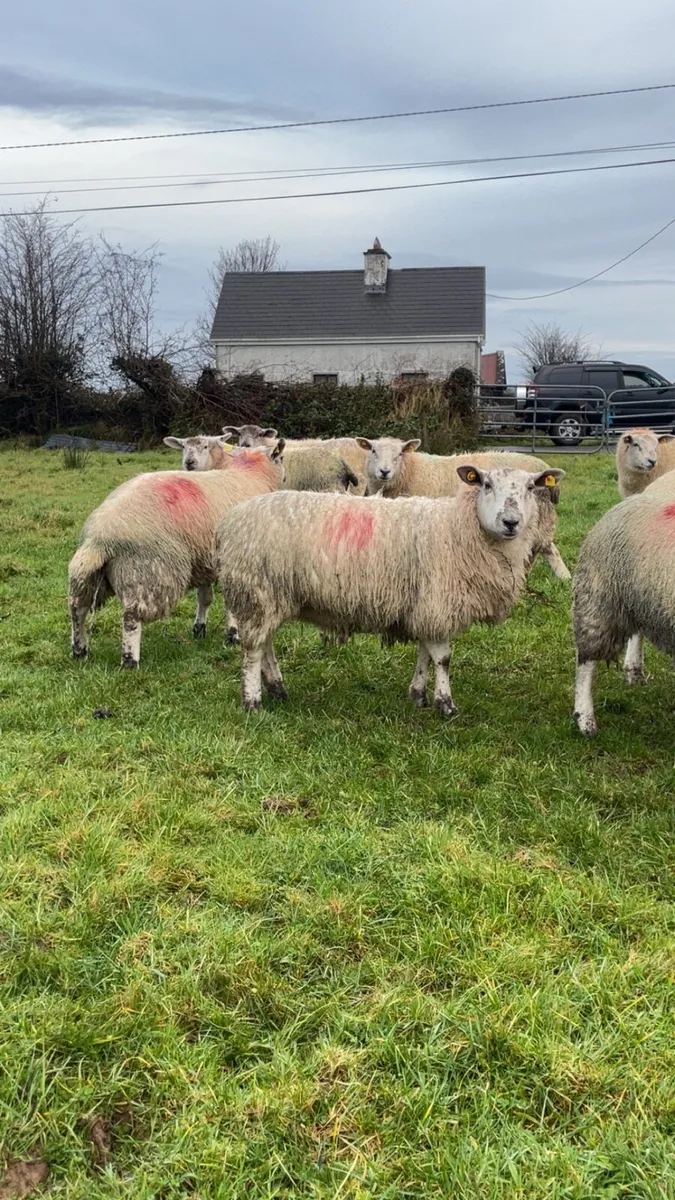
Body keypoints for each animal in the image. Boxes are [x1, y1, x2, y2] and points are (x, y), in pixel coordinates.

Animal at [68, 443, 285, 667]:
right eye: (281, 458)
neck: (250, 474)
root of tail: (98, 539)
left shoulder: (203, 561)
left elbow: (205, 598)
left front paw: (200, 628)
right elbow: (231, 604)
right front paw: (233, 634)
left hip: (91, 577)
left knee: (78, 608)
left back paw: (79, 650)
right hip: (148, 572)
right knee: (131, 616)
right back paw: (130, 660)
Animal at [216, 464, 564, 715]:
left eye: (531, 488)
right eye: (487, 484)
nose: (511, 522)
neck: (459, 528)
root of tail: (231, 520)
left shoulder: (425, 607)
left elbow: (425, 654)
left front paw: (418, 695)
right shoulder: (437, 602)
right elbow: (443, 658)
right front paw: (446, 704)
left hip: (266, 597)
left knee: (266, 644)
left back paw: (277, 688)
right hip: (257, 591)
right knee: (253, 650)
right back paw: (253, 701)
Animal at [357, 437, 569, 581]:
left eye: (400, 453)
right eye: (373, 451)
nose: (384, 471)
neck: (411, 470)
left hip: (536, 518)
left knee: (548, 549)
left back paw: (564, 577)